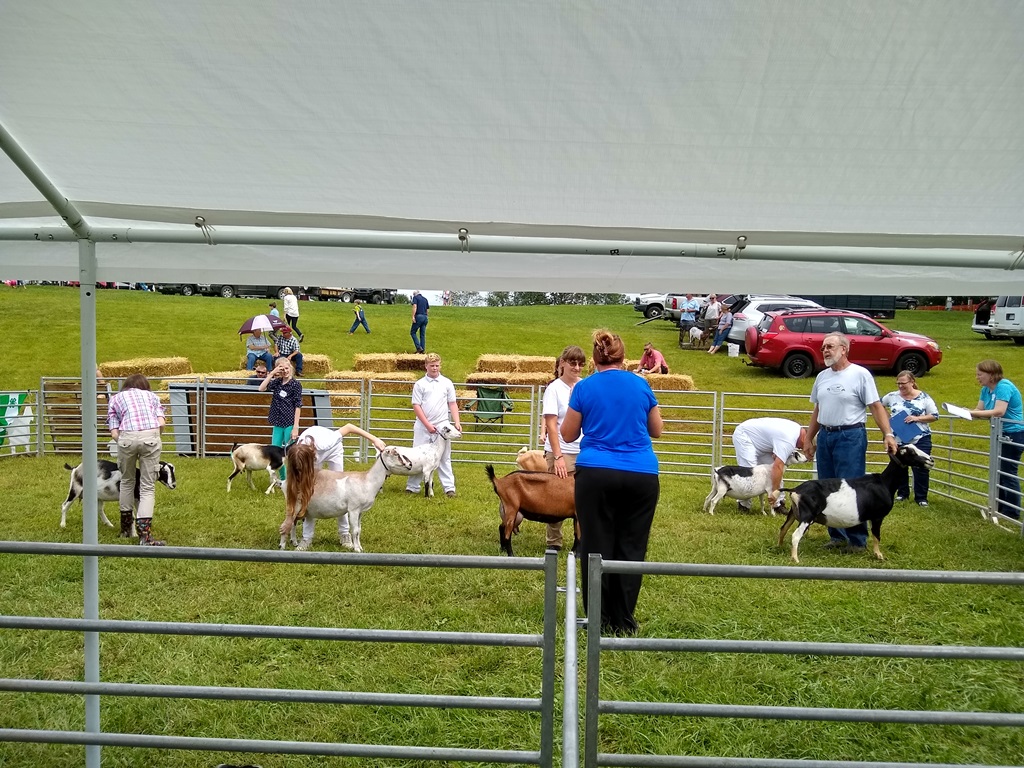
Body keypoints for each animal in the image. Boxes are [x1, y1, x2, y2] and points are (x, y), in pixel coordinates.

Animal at [280, 444, 411, 552]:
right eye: (396, 454)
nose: (410, 465)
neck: (366, 481)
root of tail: (288, 481)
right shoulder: (353, 509)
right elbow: (355, 530)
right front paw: (357, 549)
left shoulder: (360, 511)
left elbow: (359, 529)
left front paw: (360, 547)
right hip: (294, 504)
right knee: (285, 525)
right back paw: (282, 547)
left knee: (293, 523)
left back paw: (294, 542)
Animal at [774, 444, 937, 565]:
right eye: (911, 452)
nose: (931, 460)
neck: (884, 483)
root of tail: (795, 490)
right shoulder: (878, 516)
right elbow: (877, 535)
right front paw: (879, 556)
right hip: (807, 516)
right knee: (795, 535)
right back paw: (795, 559)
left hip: (794, 513)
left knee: (783, 529)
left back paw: (780, 548)